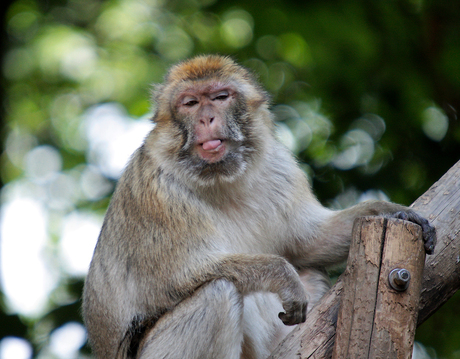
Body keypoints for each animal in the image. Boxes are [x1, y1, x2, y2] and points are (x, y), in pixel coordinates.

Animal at [81, 55, 436, 359]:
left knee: (309, 268)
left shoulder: (279, 166)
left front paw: (390, 210)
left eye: (220, 97)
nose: (206, 118)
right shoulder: (157, 194)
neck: (220, 180)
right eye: (190, 103)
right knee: (217, 293)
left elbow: (310, 243)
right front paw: (282, 275)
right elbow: (182, 275)